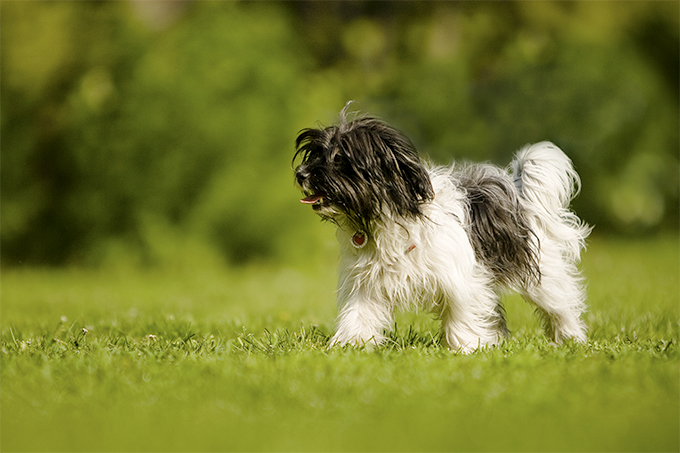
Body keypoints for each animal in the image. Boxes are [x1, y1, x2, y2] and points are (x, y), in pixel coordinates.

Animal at [292, 104, 588, 352]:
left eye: (339, 158)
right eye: (316, 153)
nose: (300, 174)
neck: (387, 217)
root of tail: (517, 194)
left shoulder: (461, 279)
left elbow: (462, 313)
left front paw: (467, 347)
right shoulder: (365, 282)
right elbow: (359, 314)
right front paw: (350, 344)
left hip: (540, 273)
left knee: (560, 302)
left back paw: (570, 337)